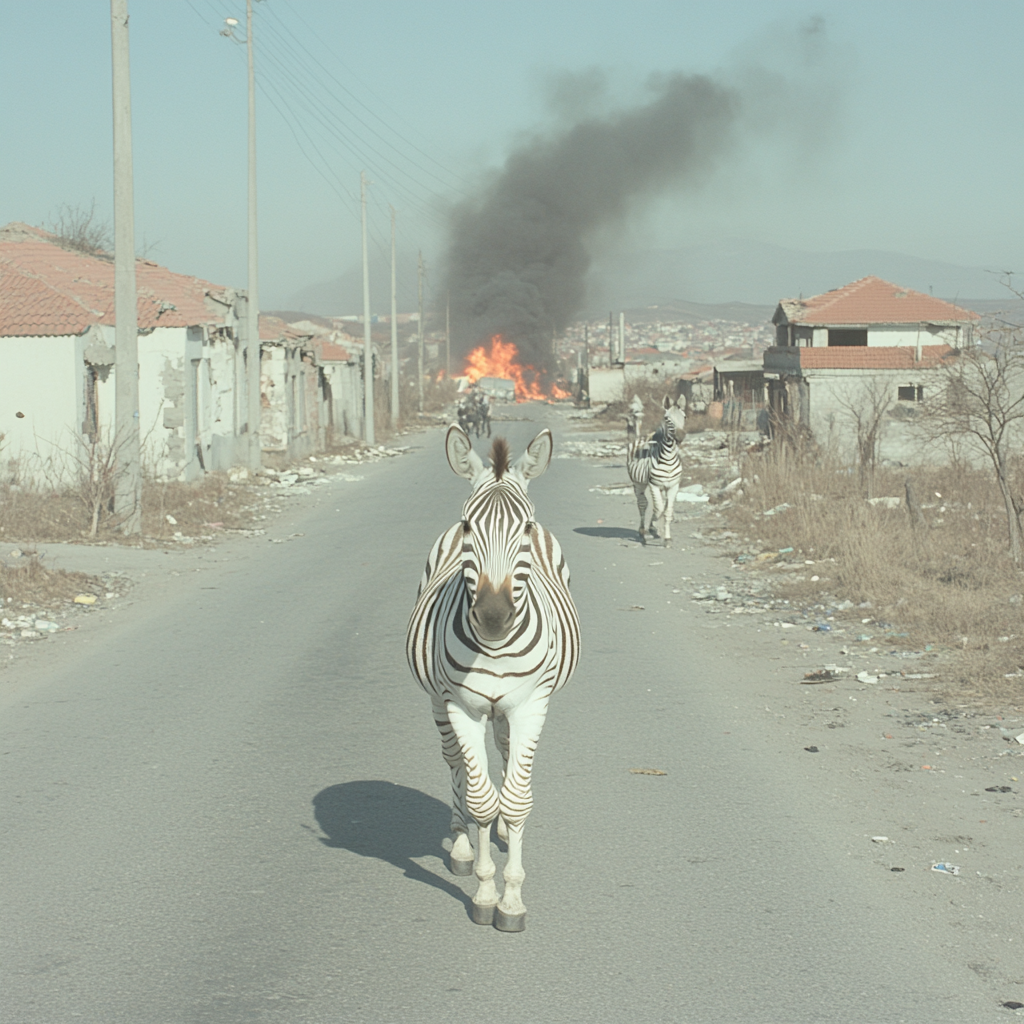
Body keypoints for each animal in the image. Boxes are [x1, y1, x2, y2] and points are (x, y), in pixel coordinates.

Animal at [407, 423, 585, 929]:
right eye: (469, 525)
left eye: (524, 527)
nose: (492, 616)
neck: (495, 648)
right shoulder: (460, 704)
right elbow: (481, 797)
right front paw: (487, 893)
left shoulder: (530, 704)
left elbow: (516, 797)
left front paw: (512, 898)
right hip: (438, 701)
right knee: (457, 764)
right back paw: (463, 844)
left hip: (514, 708)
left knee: (504, 756)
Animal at [622, 391, 688, 548]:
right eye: (667, 419)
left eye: (684, 417)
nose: (680, 437)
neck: (669, 457)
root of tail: (642, 436)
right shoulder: (654, 485)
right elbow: (658, 509)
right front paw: (651, 529)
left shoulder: (673, 486)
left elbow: (667, 511)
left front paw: (666, 538)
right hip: (638, 483)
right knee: (643, 504)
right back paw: (642, 532)